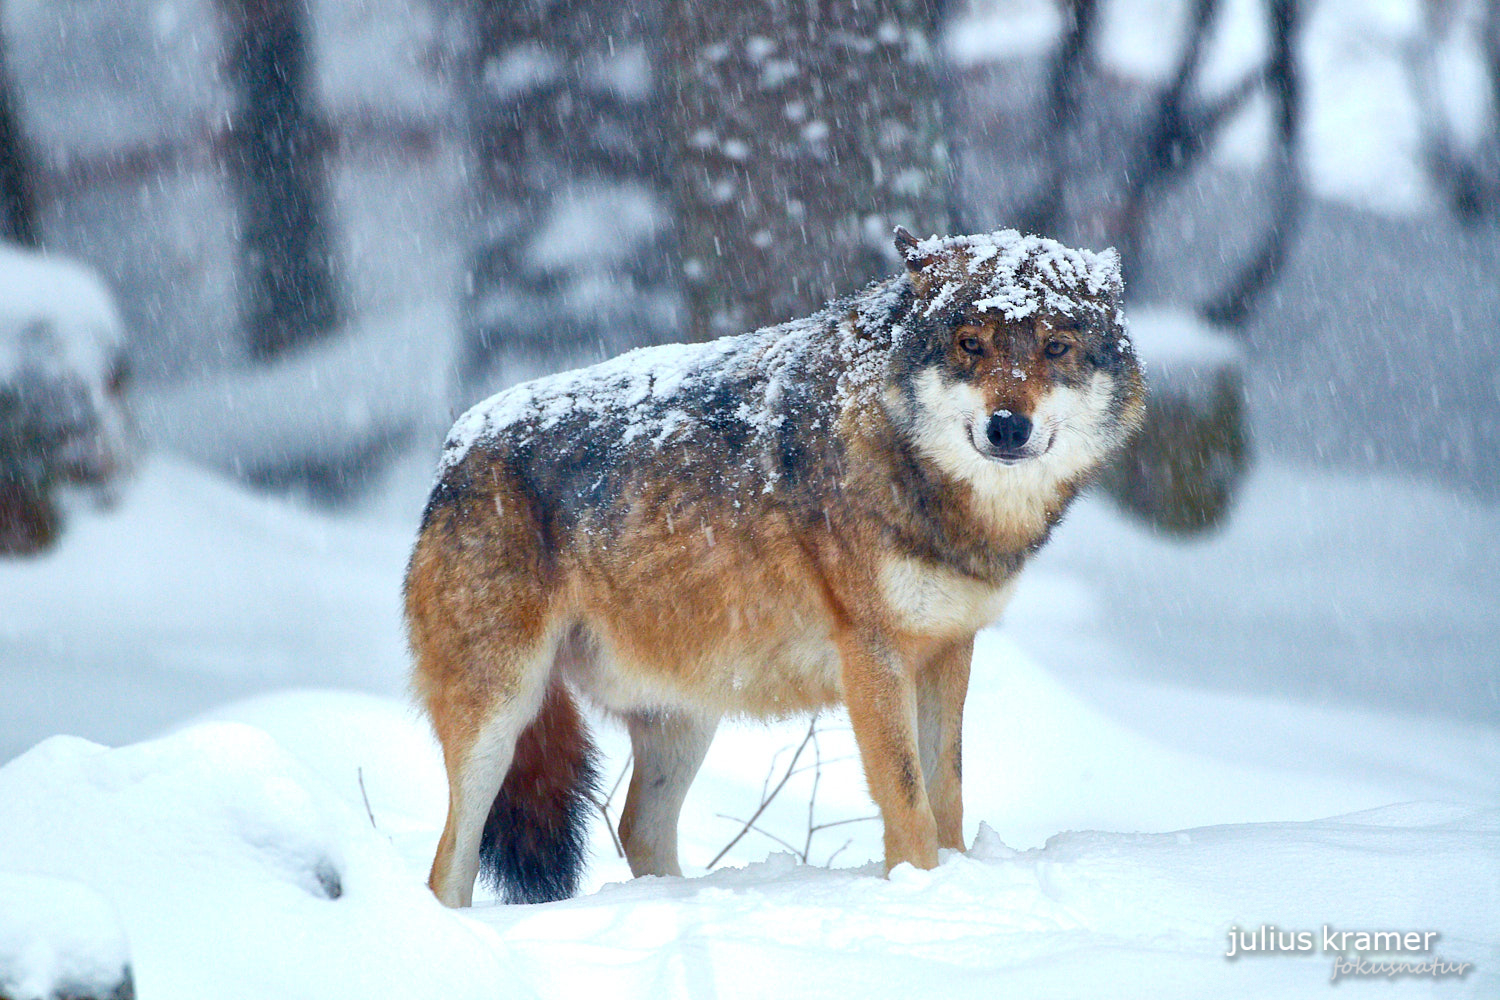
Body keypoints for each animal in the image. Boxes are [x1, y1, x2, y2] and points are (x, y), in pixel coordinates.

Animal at [405, 226, 1140, 905]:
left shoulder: (949, 647)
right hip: (501, 716)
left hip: (682, 717)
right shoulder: (872, 653)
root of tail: (454, 447)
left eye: (1056, 347)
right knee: (447, 865)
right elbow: (910, 806)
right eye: (970, 343)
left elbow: (948, 793)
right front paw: (925, 892)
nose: (1007, 426)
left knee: (639, 826)